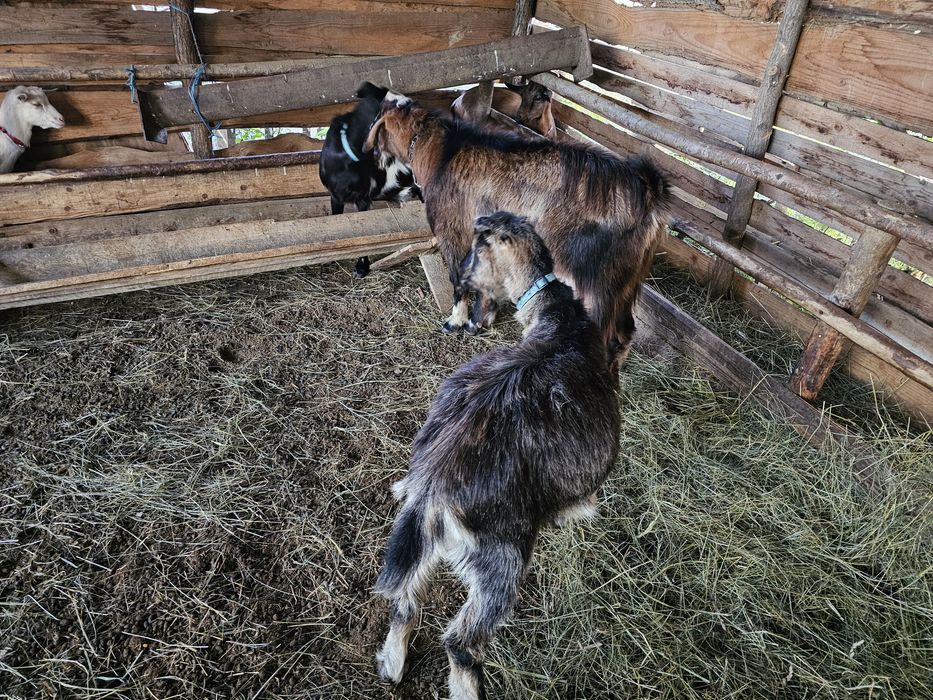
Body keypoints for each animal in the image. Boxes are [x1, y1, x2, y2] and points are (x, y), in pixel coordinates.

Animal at [364, 98, 668, 368]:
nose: (372, 157)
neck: (442, 153)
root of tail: (647, 193)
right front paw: (480, 320)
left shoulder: (452, 232)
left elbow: (458, 279)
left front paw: (456, 322)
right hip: (625, 281)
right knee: (624, 333)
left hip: (596, 279)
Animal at [375, 211, 621, 700]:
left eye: (475, 253)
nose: (460, 282)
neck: (559, 321)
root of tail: (432, 489)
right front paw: (582, 511)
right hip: (499, 561)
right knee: (461, 641)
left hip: (420, 540)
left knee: (404, 600)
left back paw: (392, 663)